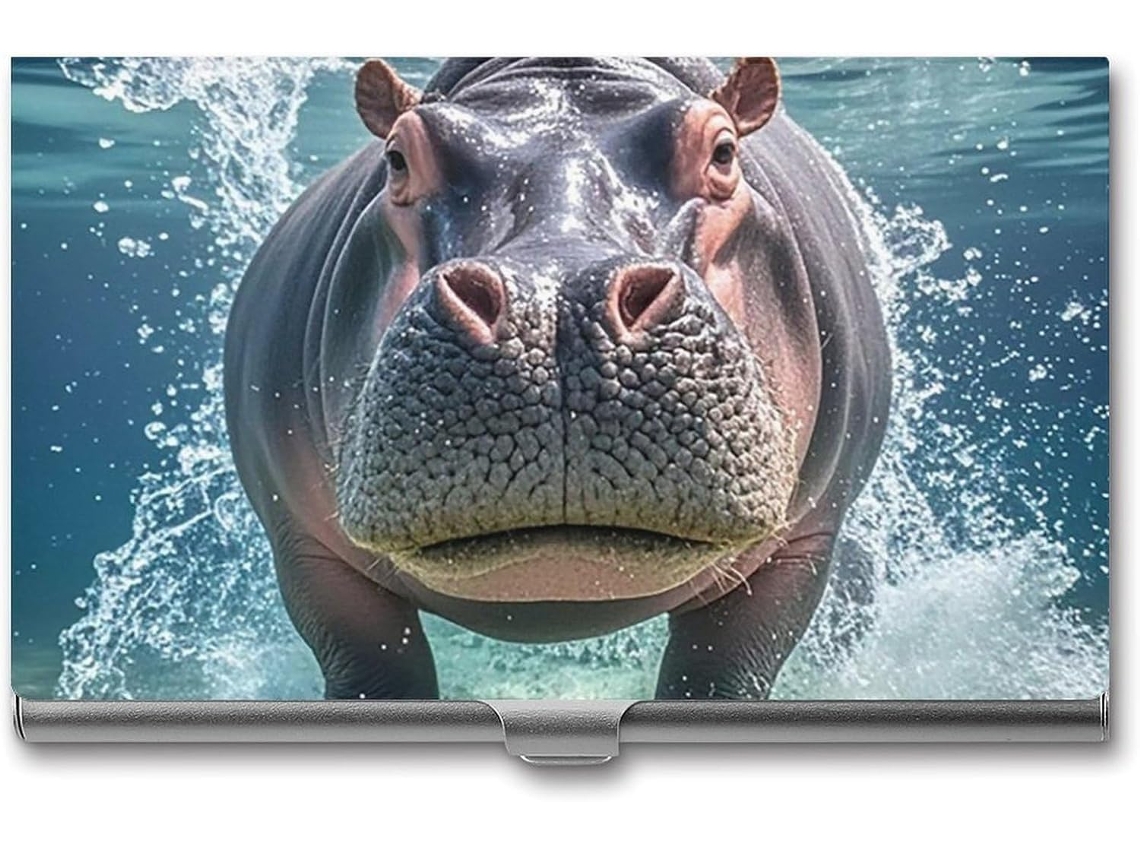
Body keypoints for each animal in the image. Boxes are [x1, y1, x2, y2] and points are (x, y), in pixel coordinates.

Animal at [223, 57, 891, 700]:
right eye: (397, 157)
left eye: (724, 152)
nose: (554, 299)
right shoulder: (309, 551)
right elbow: (378, 672)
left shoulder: (801, 546)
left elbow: (717, 674)